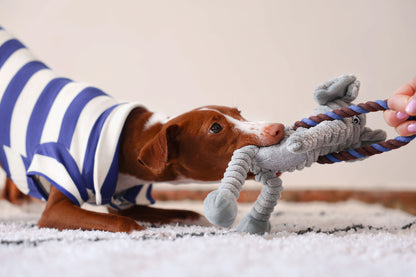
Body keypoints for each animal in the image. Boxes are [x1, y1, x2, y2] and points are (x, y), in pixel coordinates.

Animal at [0, 27, 282, 231]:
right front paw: (144, 232)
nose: (277, 128)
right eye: (215, 128)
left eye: (239, 113)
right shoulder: (58, 201)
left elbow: (181, 212)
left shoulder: (126, 199)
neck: (125, 139)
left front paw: (199, 218)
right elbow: (119, 221)